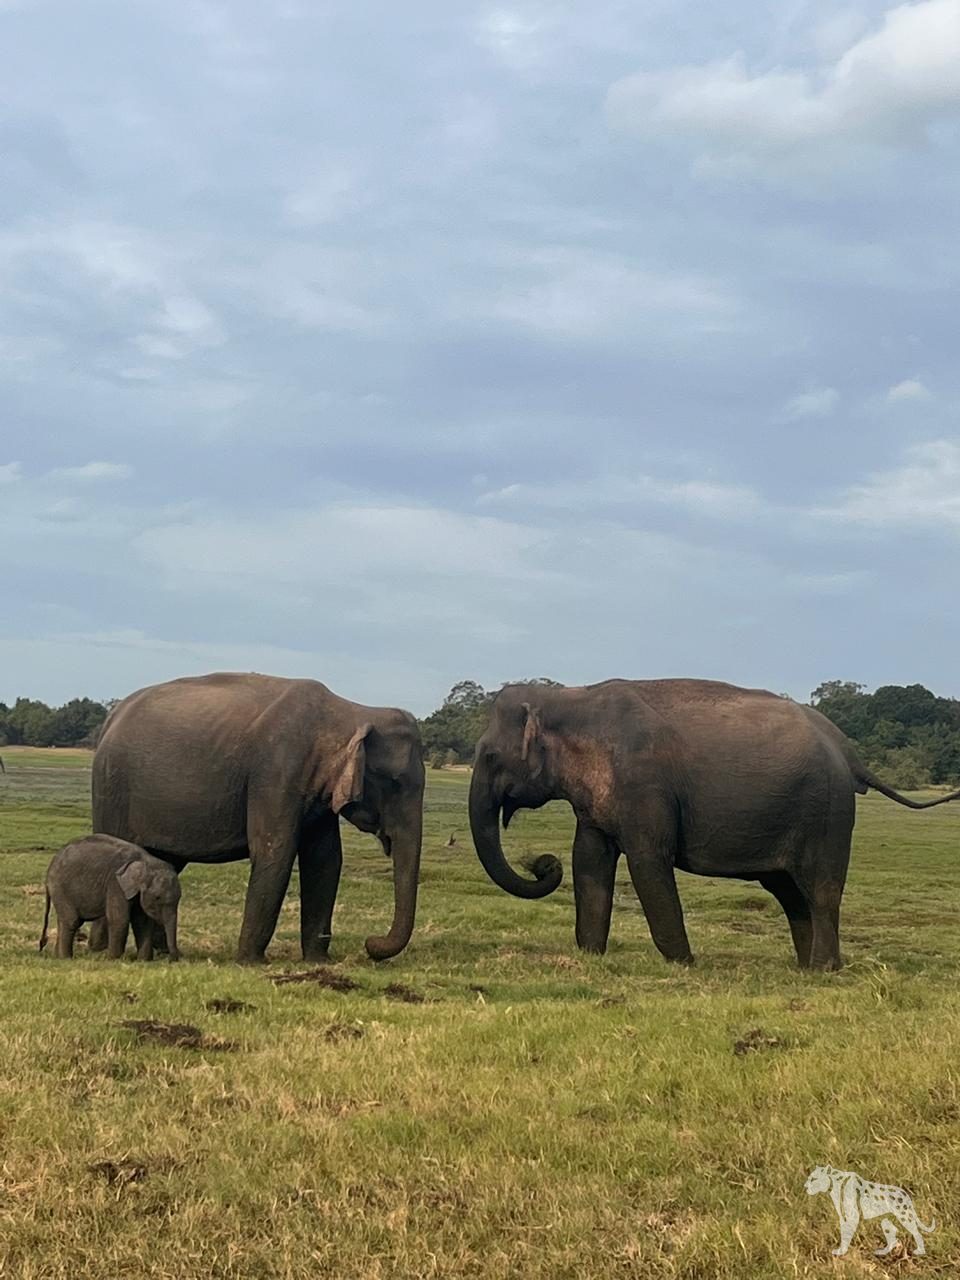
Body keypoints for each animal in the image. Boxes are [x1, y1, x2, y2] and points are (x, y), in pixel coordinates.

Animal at [39, 834, 181, 960]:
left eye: (179, 899)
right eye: (157, 897)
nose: (172, 959)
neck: (146, 861)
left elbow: (143, 922)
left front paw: (144, 961)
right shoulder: (115, 885)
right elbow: (120, 919)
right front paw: (114, 959)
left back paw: (58, 956)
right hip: (60, 888)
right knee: (71, 920)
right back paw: (66, 958)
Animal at [91, 672, 425, 964]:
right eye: (395, 783)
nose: (370, 944)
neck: (349, 710)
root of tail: (110, 719)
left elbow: (326, 860)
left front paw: (319, 962)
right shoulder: (278, 772)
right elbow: (275, 850)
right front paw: (251, 962)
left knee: (165, 862)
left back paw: (163, 954)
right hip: (111, 786)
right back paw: (100, 951)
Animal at [469, 679, 960, 970]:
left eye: (489, 756)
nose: (541, 864)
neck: (573, 697)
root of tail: (848, 750)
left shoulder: (645, 785)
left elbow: (649, 862)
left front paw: (683, 963)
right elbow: (588, 860)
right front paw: (591, 956)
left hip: (827, 813)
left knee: (820, 891)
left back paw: (821, 969)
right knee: (791, 894)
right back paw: (810, 967)